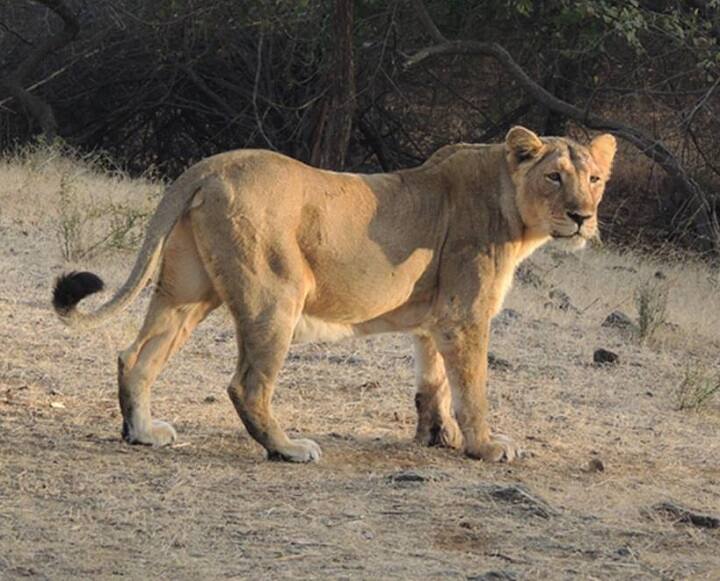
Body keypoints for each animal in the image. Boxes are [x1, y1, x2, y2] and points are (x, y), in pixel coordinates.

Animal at [52, 126, 616, 463]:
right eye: (553, 177)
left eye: (594, 179)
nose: (582, 216)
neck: (511, 206)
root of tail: (213, 164)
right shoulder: (465, 315)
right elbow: (472, 389)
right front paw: (483, 446)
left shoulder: (435, 318)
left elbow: (432, 383)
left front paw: (437, 439)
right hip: (276, 294)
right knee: (246, 385)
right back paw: (287, 448)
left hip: (187, 291)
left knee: (134, 357)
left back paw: (143, 432)